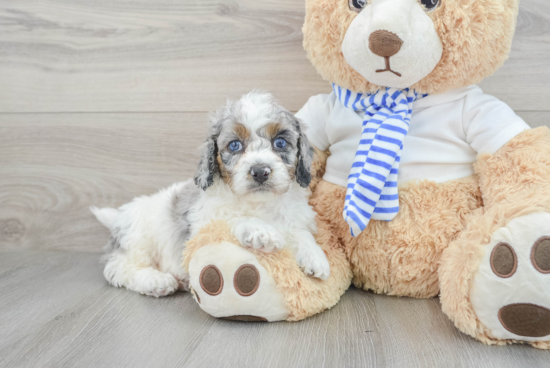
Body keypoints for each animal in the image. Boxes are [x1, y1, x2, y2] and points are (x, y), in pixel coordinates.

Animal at [91, 91, 332, 296]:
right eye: (234, 145)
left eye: (280, 142)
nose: (260, 171)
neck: (259, 203)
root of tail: (119, 217)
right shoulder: (203, 223)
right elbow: (233, 218)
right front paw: (260, 231)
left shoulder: (294, 217)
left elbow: (300, 232)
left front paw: (315, 256)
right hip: (137, 240)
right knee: (117, 268)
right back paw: (155, 281)